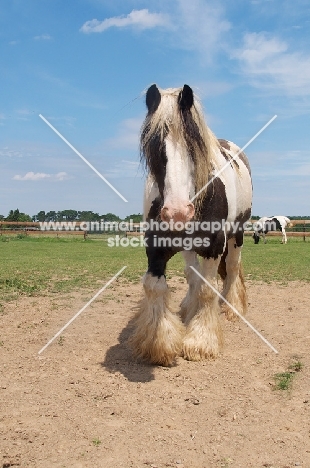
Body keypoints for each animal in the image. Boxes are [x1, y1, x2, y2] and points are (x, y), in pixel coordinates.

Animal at [130, 86, 253, 368]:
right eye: (154, 145)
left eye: (193, 146)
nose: (177, 212)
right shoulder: (155, 246)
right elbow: (155, 286)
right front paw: (160, 344)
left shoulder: (214, 245)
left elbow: (208, 291)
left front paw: (201, 342)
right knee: (192, 274)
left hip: (237, 235)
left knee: (232, 269)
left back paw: (231, 308)